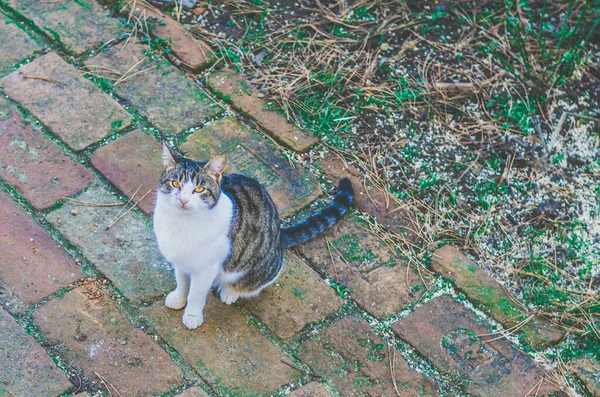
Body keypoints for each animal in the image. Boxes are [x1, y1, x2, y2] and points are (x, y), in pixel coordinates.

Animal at [152, 144, 354, 330]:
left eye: (200, 189)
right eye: (175, 184)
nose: (183, 200)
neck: (181, 224)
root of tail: (279, 232)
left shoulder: (206, 269)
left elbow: (196, 294)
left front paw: (192, 315)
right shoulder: (180, 261)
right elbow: (182, 282)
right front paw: (179, 299)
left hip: (263, 267)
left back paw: (230, 291)